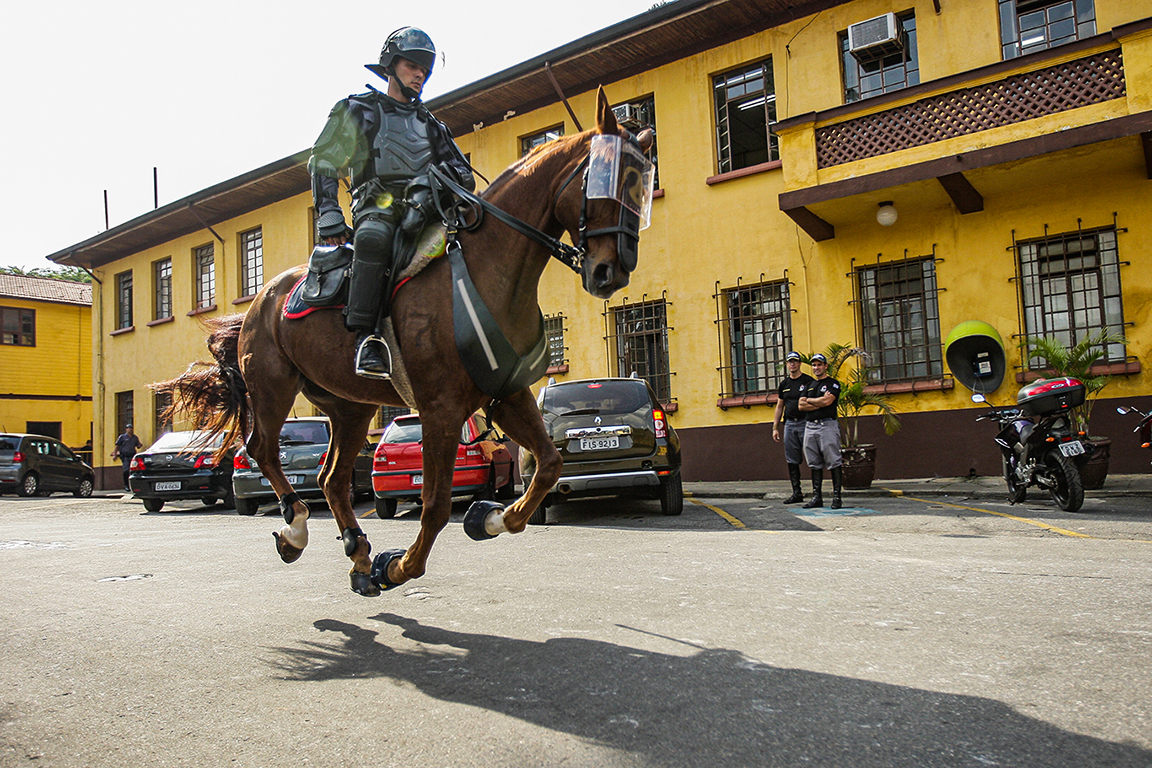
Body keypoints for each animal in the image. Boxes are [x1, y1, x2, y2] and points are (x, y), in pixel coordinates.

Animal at [157, 88, 654, 594]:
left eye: (645, 186)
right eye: (606, 180)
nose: (610, 271)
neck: (485, 270)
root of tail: (262, 299)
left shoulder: (506, 393)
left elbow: (549, 464)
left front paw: (488, 518)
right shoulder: (440, 409)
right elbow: (434, 505)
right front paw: (399, 566)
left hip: (349, 408)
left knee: (331, 479)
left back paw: (358, 555)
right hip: (272, 387)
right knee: (262, 449)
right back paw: (296, 530)